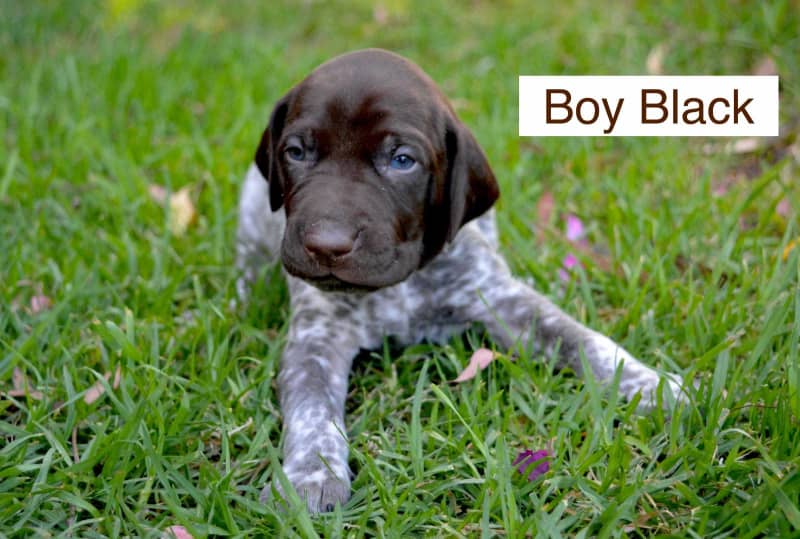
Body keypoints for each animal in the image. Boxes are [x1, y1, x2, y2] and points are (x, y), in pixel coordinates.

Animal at [234, 48, 684, 512]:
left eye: (402, 160)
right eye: (296, 152)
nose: (326, 245)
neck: (401, 283)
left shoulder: (501, 300)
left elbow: (582, 338)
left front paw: (651, 385)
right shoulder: (315, 340)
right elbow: (312, 410)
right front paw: (309, 475)